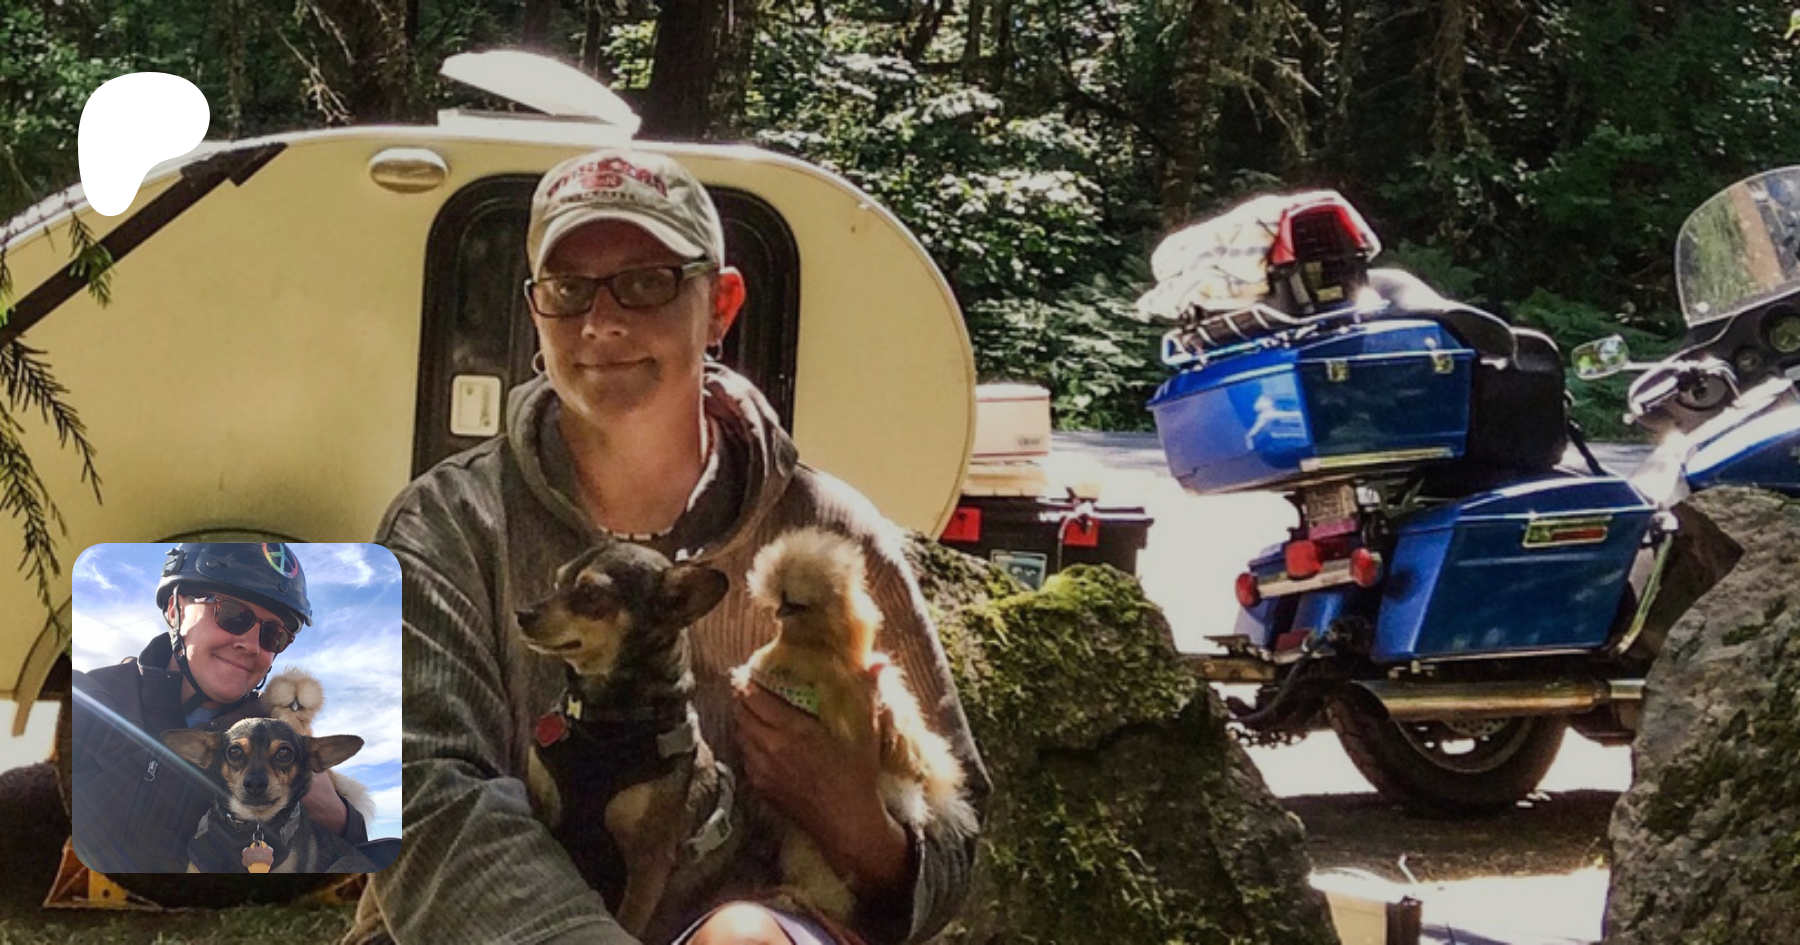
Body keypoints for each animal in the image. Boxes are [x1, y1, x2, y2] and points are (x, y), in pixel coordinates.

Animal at [516, 539, 738, 941]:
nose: (522, 614)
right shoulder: (542, 811)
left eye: (590, 594)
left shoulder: (648, 865)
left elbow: (627, 923)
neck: (605, 723)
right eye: (557, 583)